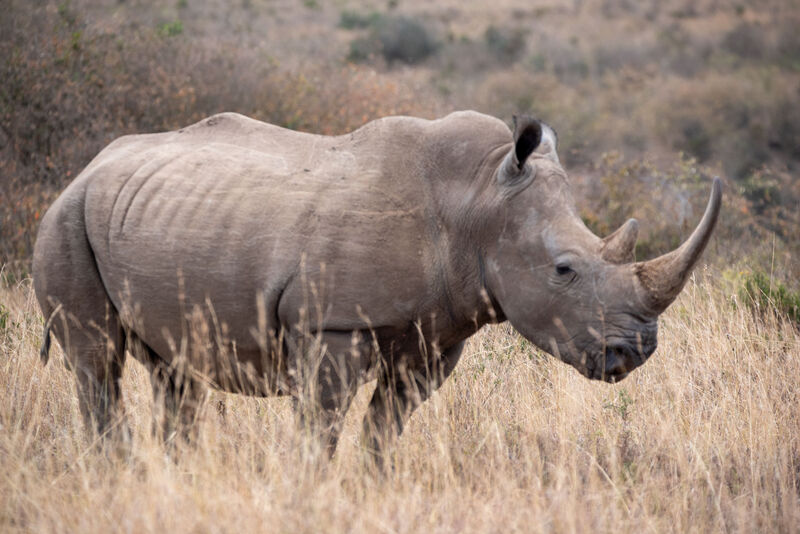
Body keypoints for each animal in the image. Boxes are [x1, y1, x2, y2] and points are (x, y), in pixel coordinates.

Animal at [33, 111, 721, 458]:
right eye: (564, 269)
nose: (635, 352)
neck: (477, 201)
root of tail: (88, 165)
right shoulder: (330, 324)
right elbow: (322, 428)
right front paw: (309, 493)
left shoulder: (436, 337)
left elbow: (384, 430)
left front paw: (369, 486)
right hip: (65, 218)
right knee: (97, 362)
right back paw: (117, 470)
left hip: (145, 213)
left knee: (172, 371)